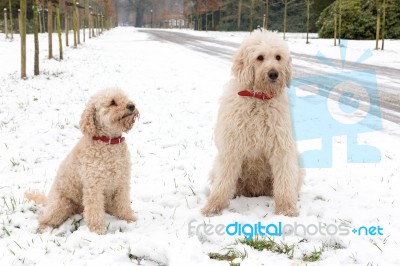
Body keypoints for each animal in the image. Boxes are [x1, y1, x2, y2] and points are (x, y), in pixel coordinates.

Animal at [25, 89, 140, 233]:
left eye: (125, 97)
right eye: (112, 102)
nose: (132, 106)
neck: (109, 142)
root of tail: (48, 199)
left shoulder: (122, 181)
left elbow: (123, 203)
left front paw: (129, 219)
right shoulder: (93, 185)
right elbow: (94, 210)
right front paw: (97, 229)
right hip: (60, 204)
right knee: (44, 218)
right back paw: (43, 228)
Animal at [203, 31, 304, 217]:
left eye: (278, 57)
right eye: (260, 57)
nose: (274, 74)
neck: (259, 98)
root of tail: (255, 191)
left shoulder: (281, 147)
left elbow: (284, 180)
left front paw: (286, 209)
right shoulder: (232, 148)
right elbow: (223, 182)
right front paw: (213, 207)